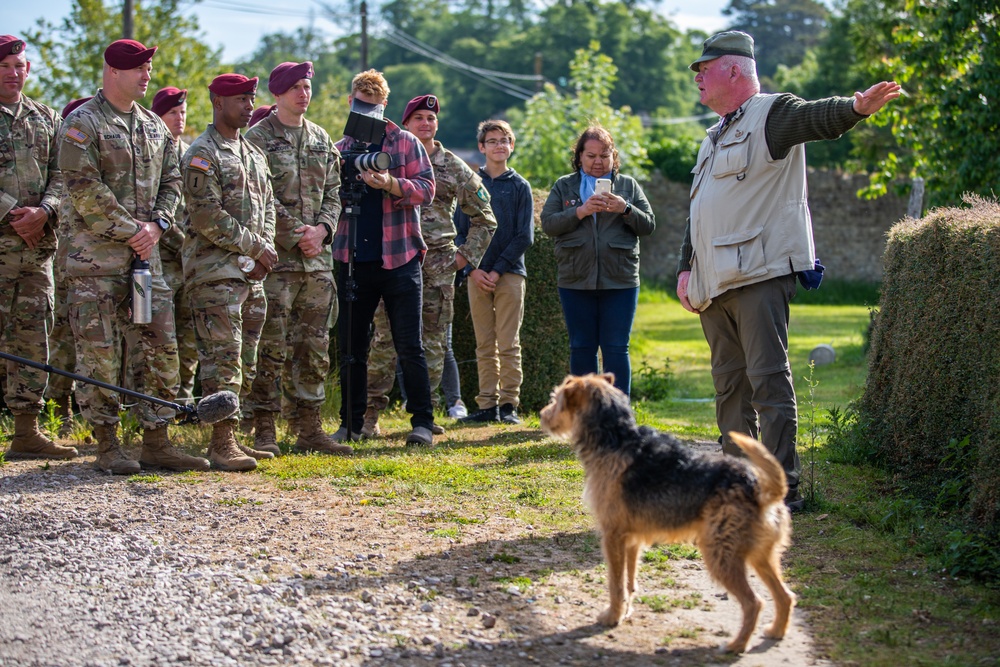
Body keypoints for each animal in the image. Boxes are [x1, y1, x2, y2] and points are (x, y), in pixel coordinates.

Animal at [540, 374, 796, 656]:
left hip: (721, 557)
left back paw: (736, 645)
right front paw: (625, 612)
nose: (542, 414)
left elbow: (615, 585)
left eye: (556, 399)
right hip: (762, 557)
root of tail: (758, 488)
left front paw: (612, 616)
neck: (616, 439)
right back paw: (776, 631)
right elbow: (629, 583)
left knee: (755, 602)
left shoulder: (612, 536)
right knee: (785, 596)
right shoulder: (631, 541)